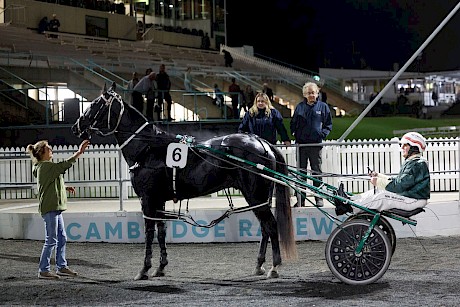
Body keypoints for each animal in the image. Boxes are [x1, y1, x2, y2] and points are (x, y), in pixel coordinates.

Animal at [70, 85, 296, 282]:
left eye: (96, 104)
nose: (76, 126)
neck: (148, 148)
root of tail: (262, 143)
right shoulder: (159, 200)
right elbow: (161, 231)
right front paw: (160, 267)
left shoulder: (147, 200)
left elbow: (149, 232)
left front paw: (144, 269)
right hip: (259, 199)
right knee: (265, 228)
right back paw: (259, 265)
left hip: (255, 196)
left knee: (271, 226)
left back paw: (274, 267)